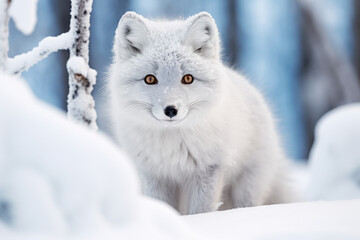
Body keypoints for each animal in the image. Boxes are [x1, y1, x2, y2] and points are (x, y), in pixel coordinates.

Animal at [107, 11, 292, 215]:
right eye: (150, 79)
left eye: (188, 79)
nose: (171, 110)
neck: (172, 145)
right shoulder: (154, 174)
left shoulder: (208, 169)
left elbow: (200, 211)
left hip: (246, 189)